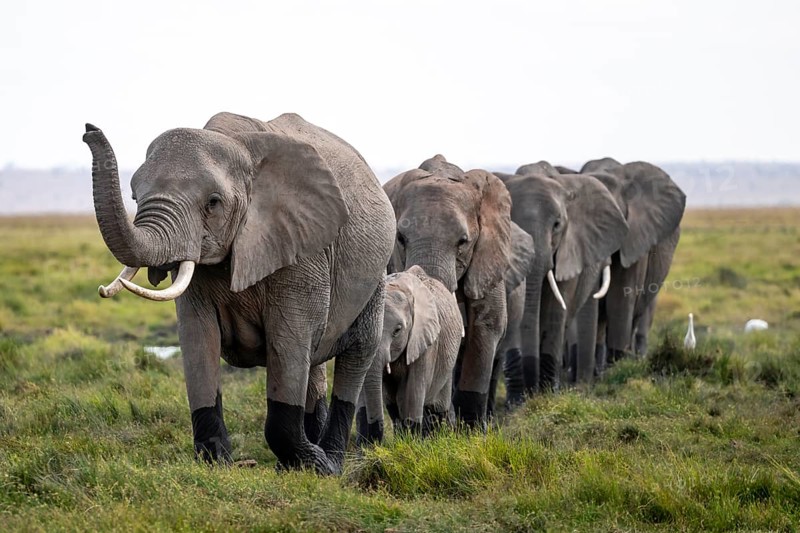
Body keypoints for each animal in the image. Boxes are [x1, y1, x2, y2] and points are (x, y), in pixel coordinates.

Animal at [82, 112, 395, 475]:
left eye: (213, 203)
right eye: (134, 198)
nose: (88, 130)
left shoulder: (301, 249)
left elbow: (288, 343)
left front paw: (316, 466)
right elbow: (198, 340)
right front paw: (216, 462)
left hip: (376, 273)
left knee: (357, 353)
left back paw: (330, 462)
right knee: (313, 362)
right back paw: (296, 461)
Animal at [357, 265, 463, 441]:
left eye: (397, 330)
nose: (375, 440)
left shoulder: (425, 340)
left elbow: (414, 390)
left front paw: (412, 442)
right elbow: (390, 396)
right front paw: (404, 440)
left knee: (437, 406)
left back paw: (439, 437)